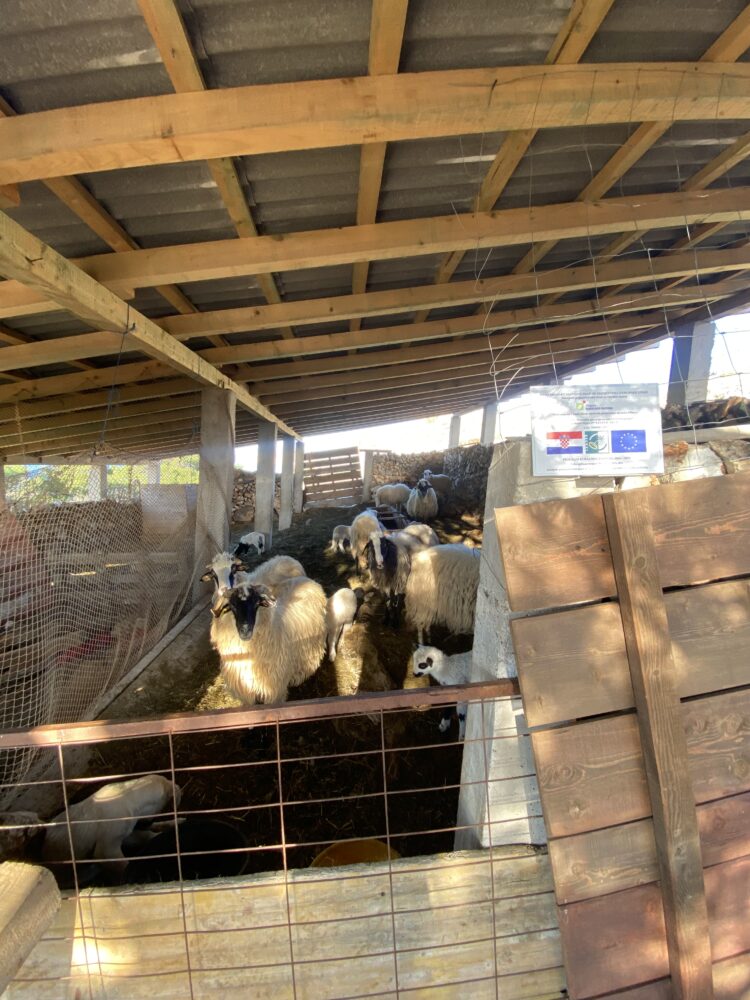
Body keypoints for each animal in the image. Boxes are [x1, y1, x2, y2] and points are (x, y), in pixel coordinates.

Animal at [211, 574, 327, 704]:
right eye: (232, 606)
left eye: (257, 603)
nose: (245, 631)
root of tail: (306, 579)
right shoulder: (245, 692)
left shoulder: (274, 690)